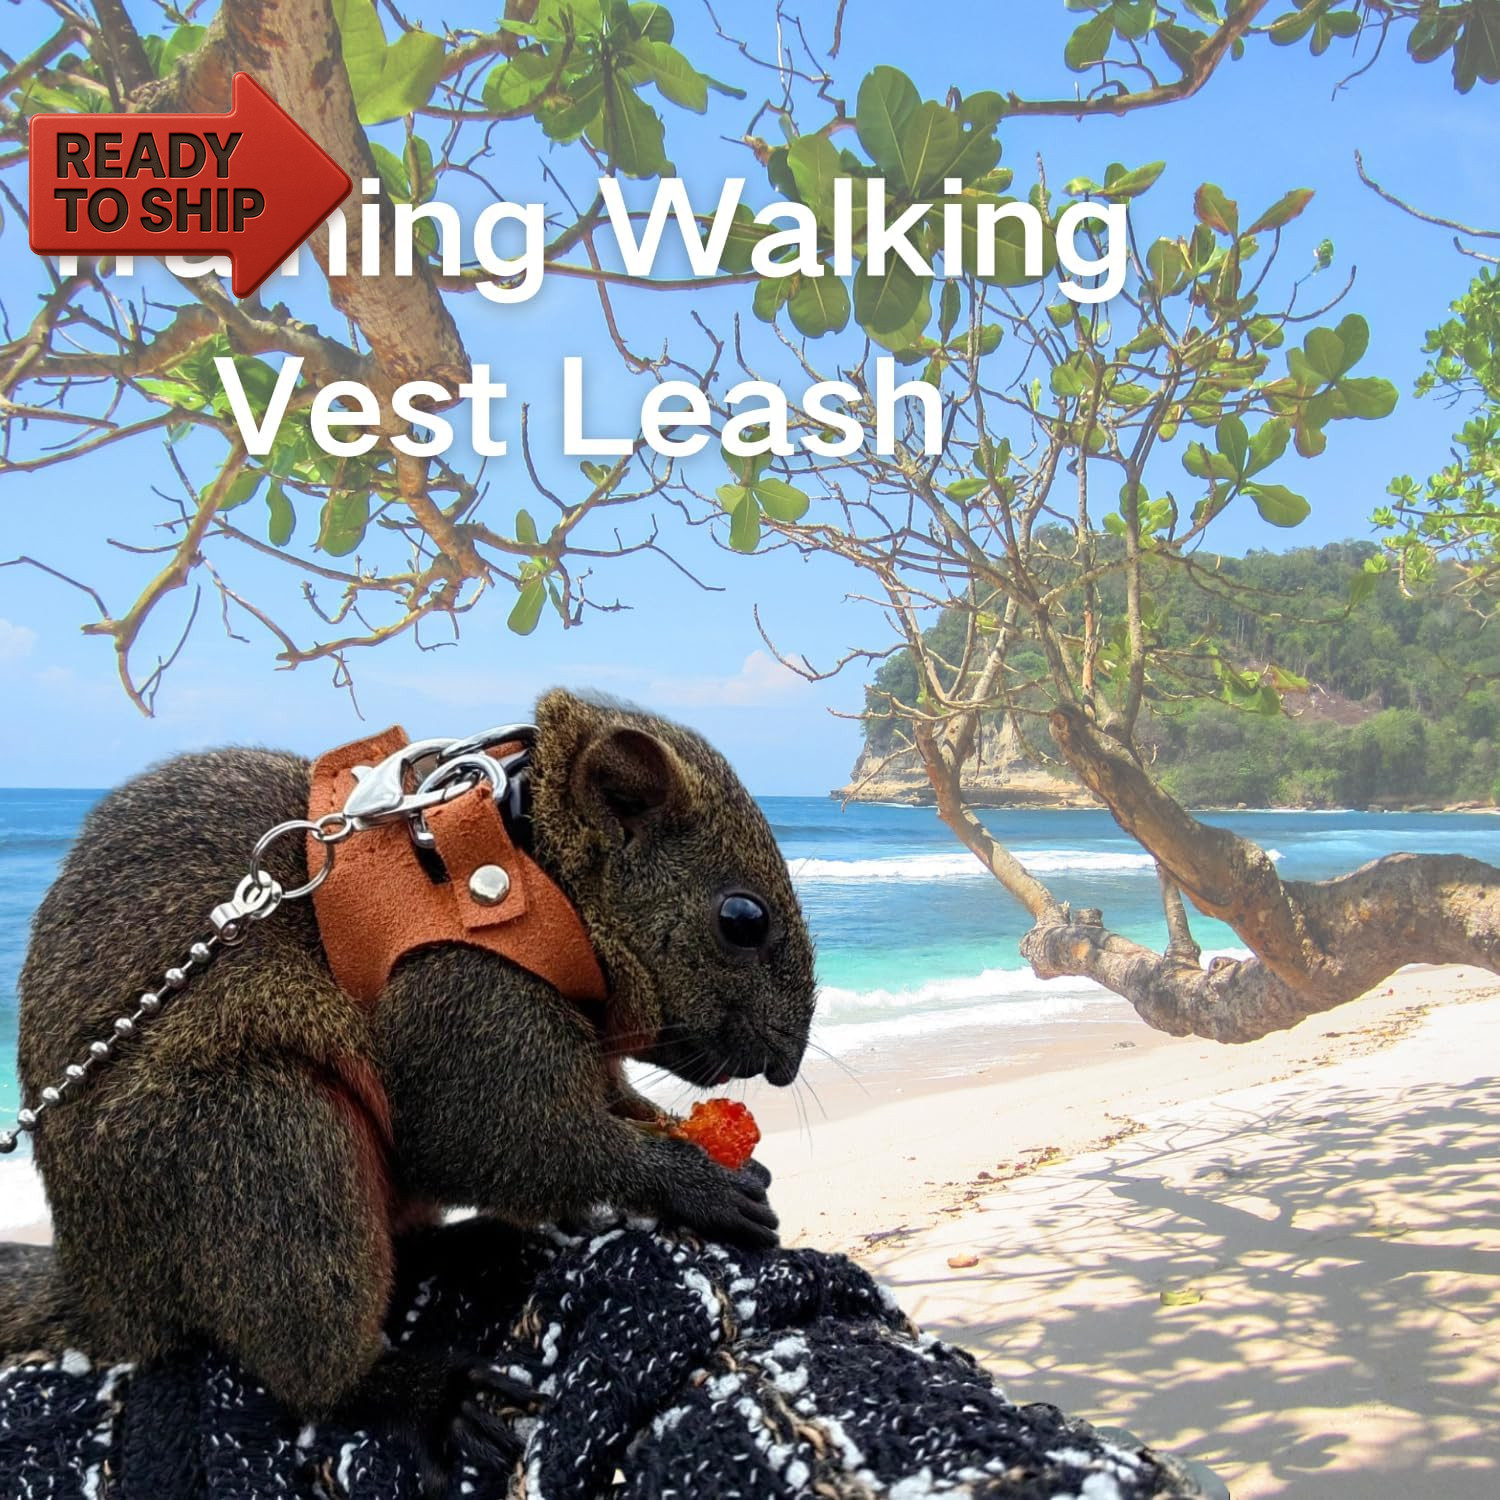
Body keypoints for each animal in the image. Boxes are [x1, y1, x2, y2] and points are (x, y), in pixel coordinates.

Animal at [0, 689, 816, 1485]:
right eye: (742, 918)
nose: (787, 1064)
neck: (522, 863)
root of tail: (103, 1290)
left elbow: (614, 1108)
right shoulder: (461, 997)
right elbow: (501, 1142)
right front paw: (696, 1184)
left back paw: (473, 1244)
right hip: (260, 1132)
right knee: (314, 1366)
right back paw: (424, 1394)